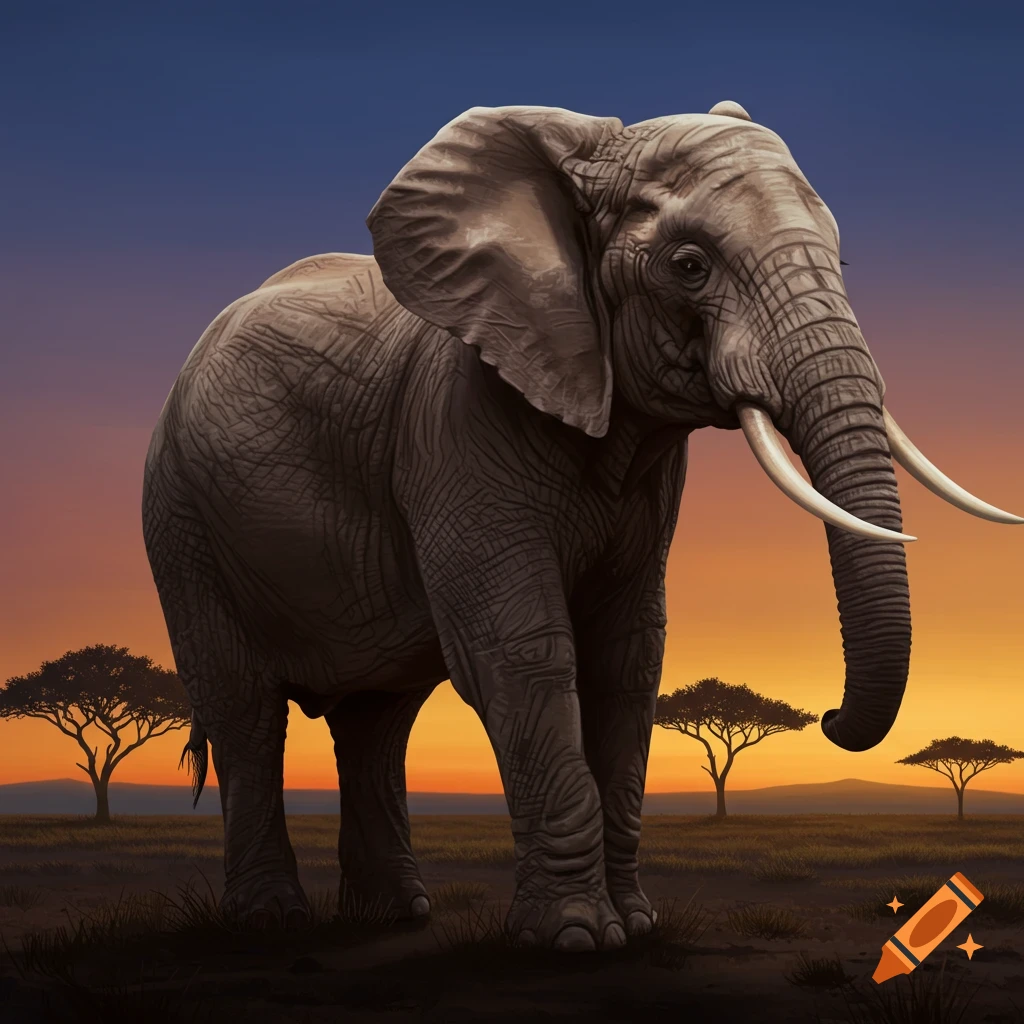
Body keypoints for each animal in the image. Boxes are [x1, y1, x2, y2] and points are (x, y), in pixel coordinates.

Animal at [142, 100, 1021, 951]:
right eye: (689, 265)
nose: (830, 719)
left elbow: (628, 657)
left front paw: (637, 926)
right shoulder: (457, 425)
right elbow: (519, 649)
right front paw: (574, 936)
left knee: (376, 722)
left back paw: (393, 916)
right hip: (180, 520)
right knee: (246, 712)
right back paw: (270, 922)